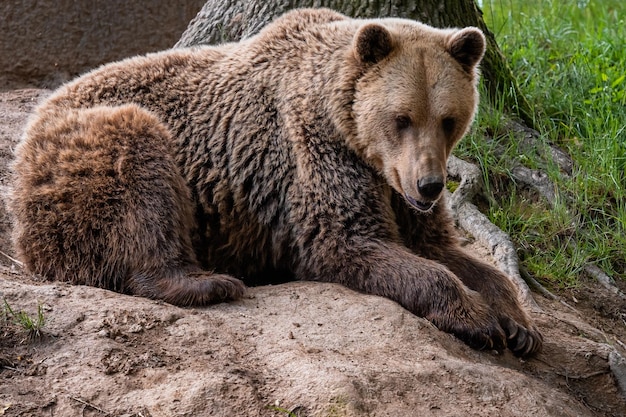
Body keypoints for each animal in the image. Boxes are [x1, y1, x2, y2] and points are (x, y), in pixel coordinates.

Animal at [7, 8, 540, 356]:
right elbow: (347, 243)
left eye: (448, 119)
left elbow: (444, 248)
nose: (429, 185)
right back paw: (209, 282)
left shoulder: (396, 189)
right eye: (401, 117)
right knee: (140, 173)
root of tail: (30, 126)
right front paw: (478, 320)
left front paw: (518, 324)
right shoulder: (316, 156)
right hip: (87, 153)